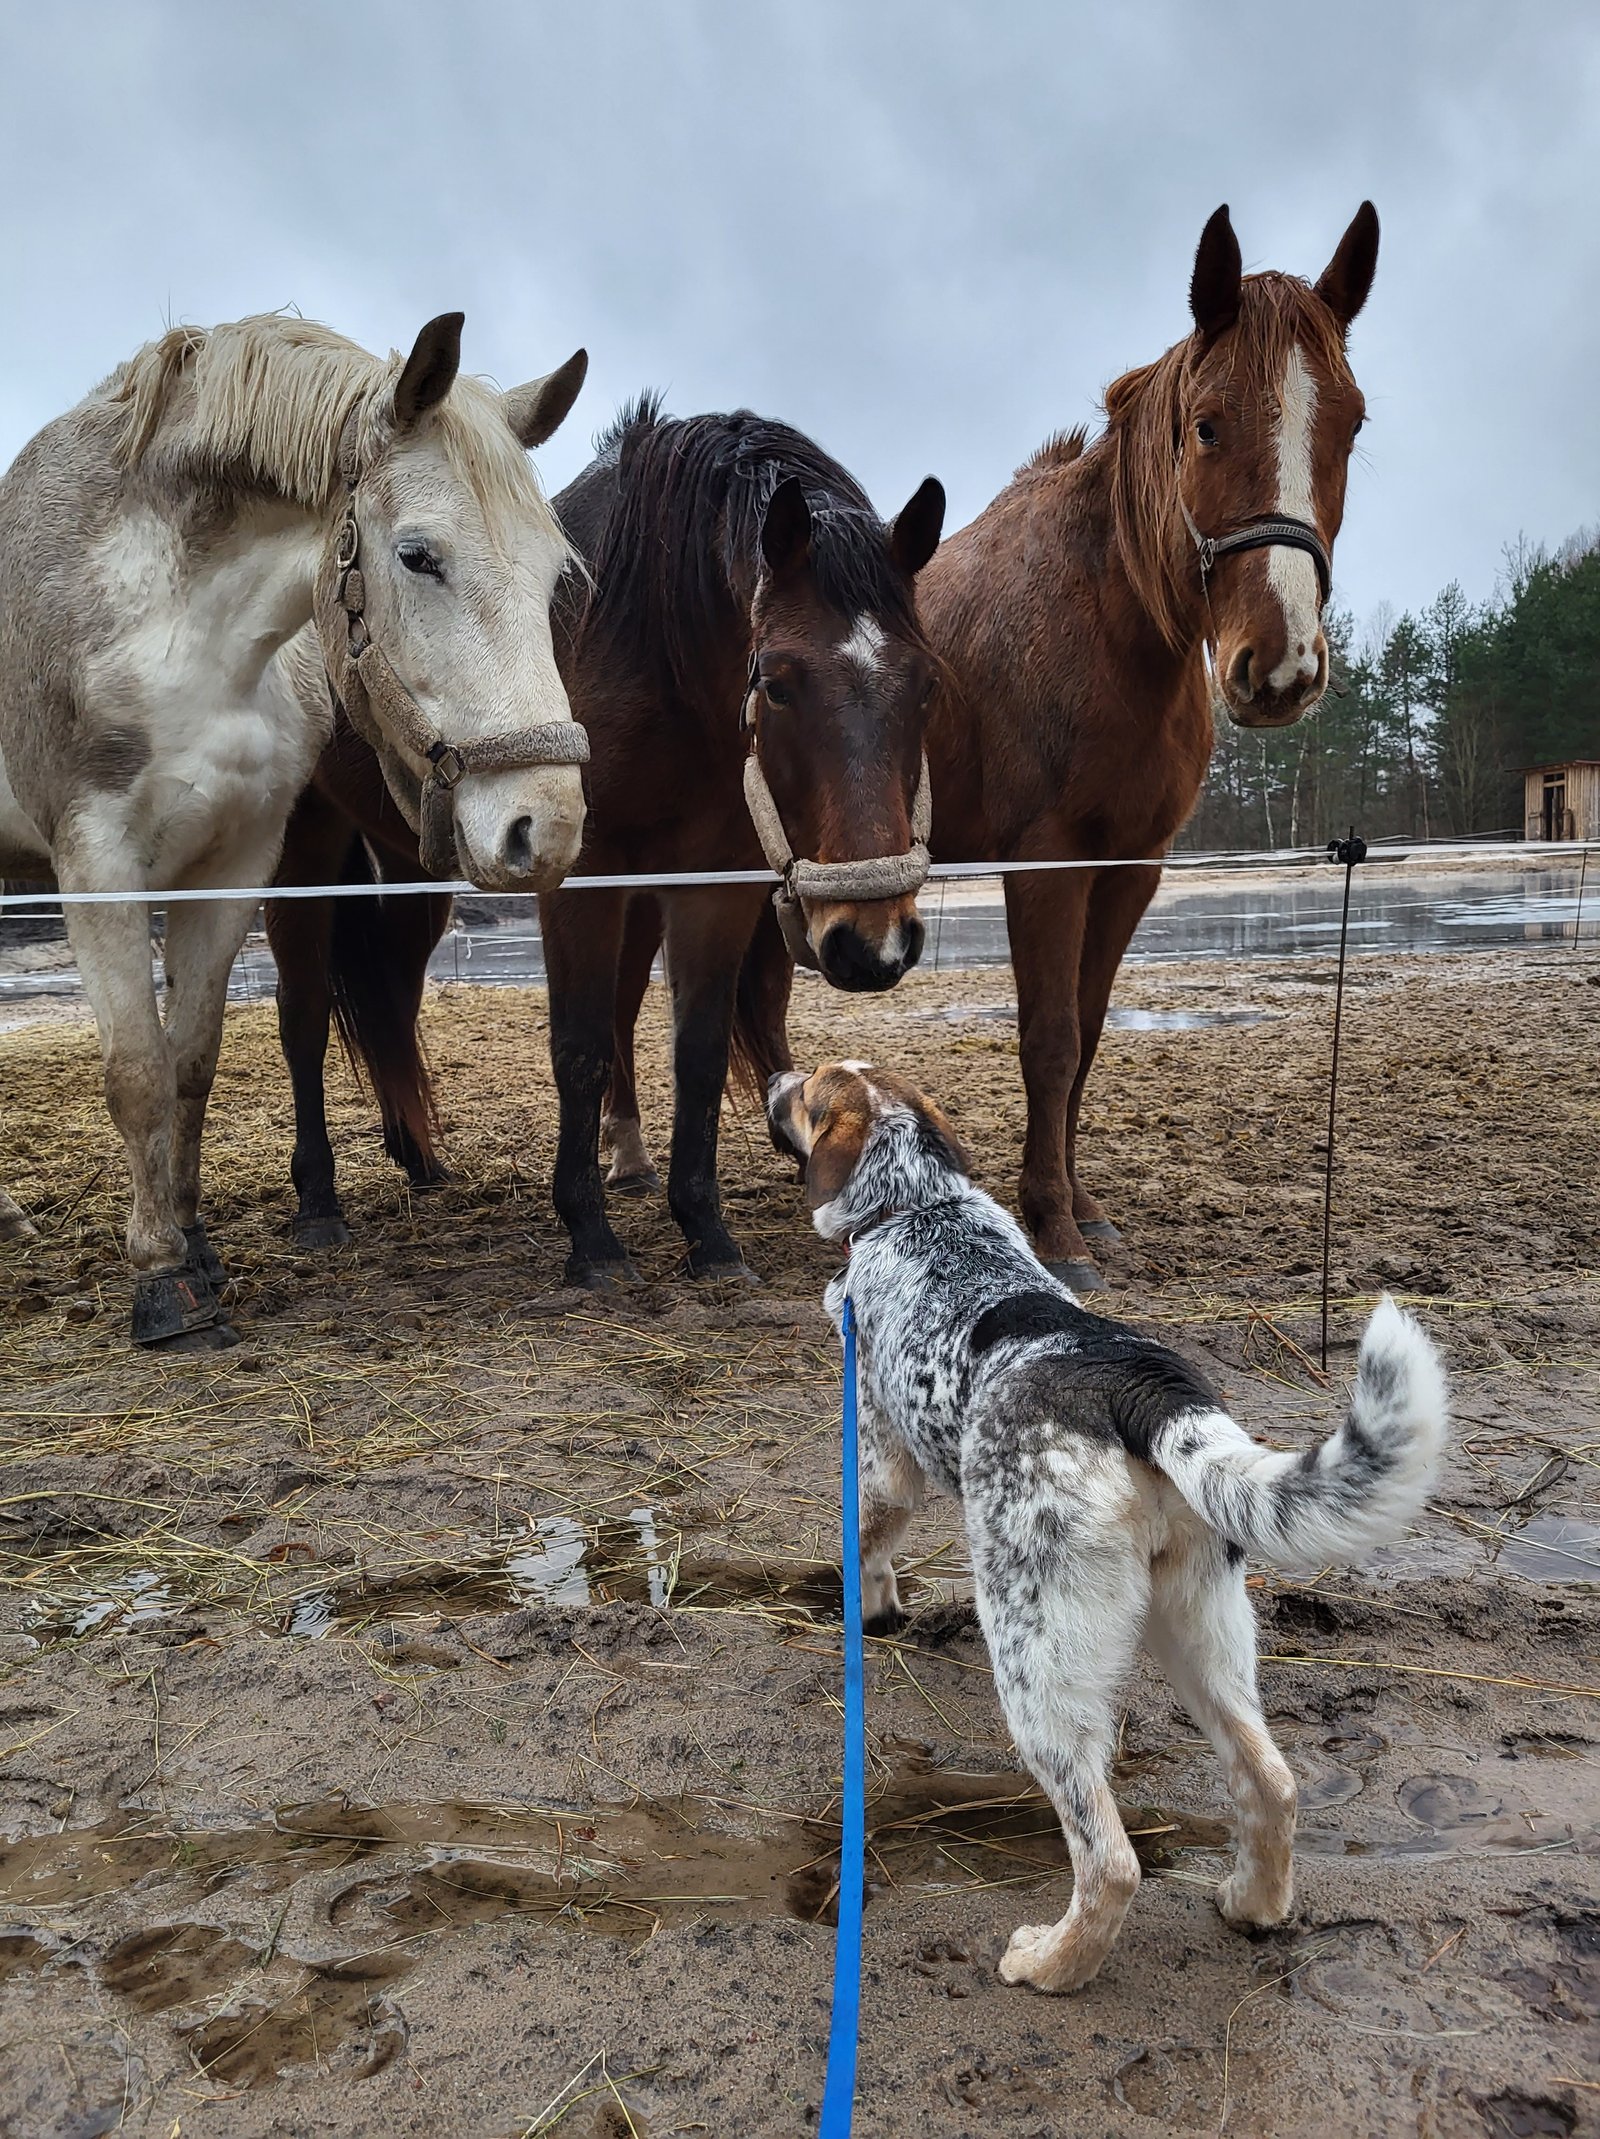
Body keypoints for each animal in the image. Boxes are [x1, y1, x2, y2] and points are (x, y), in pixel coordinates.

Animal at [0, 310, 590, 1343]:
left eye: (554, 572)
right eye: (418, 555)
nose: (543, 826)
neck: (168, 624)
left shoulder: (234, 862)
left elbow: (191, 1060)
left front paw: (197, 1248)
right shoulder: (98, 858)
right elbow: (137, 1071)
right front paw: (160, 1280)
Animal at [267, 393, 945, 1274]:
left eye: (927, 683)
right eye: (776, 683)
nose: (873, 944)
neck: (652, 641)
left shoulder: (713, 884)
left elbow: (695, 1051)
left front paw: (705, 1228)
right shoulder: (577, 874)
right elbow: (583, 1044)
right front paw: (589, 1232)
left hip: (414, 881)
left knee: (392, 999)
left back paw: (419, 1157)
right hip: (302, 848)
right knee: (304, 1013)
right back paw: (318, 1198)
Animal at [607, 204, 1377, 1283]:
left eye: (1350, 424)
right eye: (1207, 422)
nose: (1280, 663)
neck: (1106, 619)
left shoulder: (1132, 865)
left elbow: (1087, 1034)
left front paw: (1081, 1204)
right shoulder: (1046, 862)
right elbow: (1048, 1037)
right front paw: (1054, 1226)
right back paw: (633, 1162)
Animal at [770, 1060, 1454, 1993]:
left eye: (807, 1091)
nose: (771, 1078)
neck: (919, 1204)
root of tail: (1138, 1385)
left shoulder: (882, 1455)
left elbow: (868, 1547)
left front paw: (866, 1613)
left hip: (1037, 1658)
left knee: (1110, 1858)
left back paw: (1052, 1963)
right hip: (1200, 1627)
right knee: (1270, 1783)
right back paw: (1253, 1904)